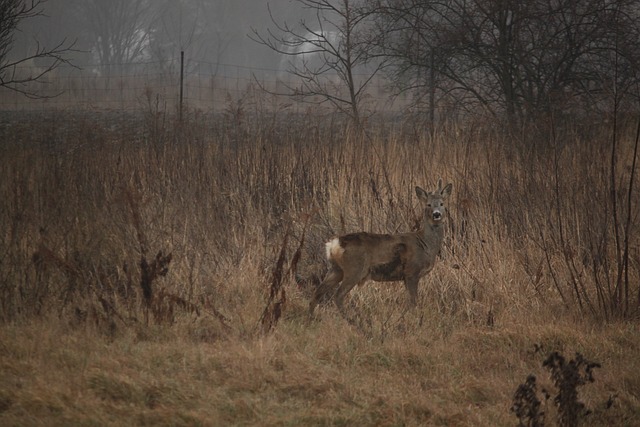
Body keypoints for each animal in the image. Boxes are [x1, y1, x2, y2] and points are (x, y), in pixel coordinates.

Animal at [308, 179, 452, 316]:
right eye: (428, 204)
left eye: (442, 204)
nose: (436, 214)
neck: (425, 244)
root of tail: (334, 244)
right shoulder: (411, 272)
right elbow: (413, 302)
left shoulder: (406, 277)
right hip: (354, 269)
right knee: (338, 295)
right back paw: (354, 320)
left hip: (336, 269)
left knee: (317, 293)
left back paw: (312, 318)